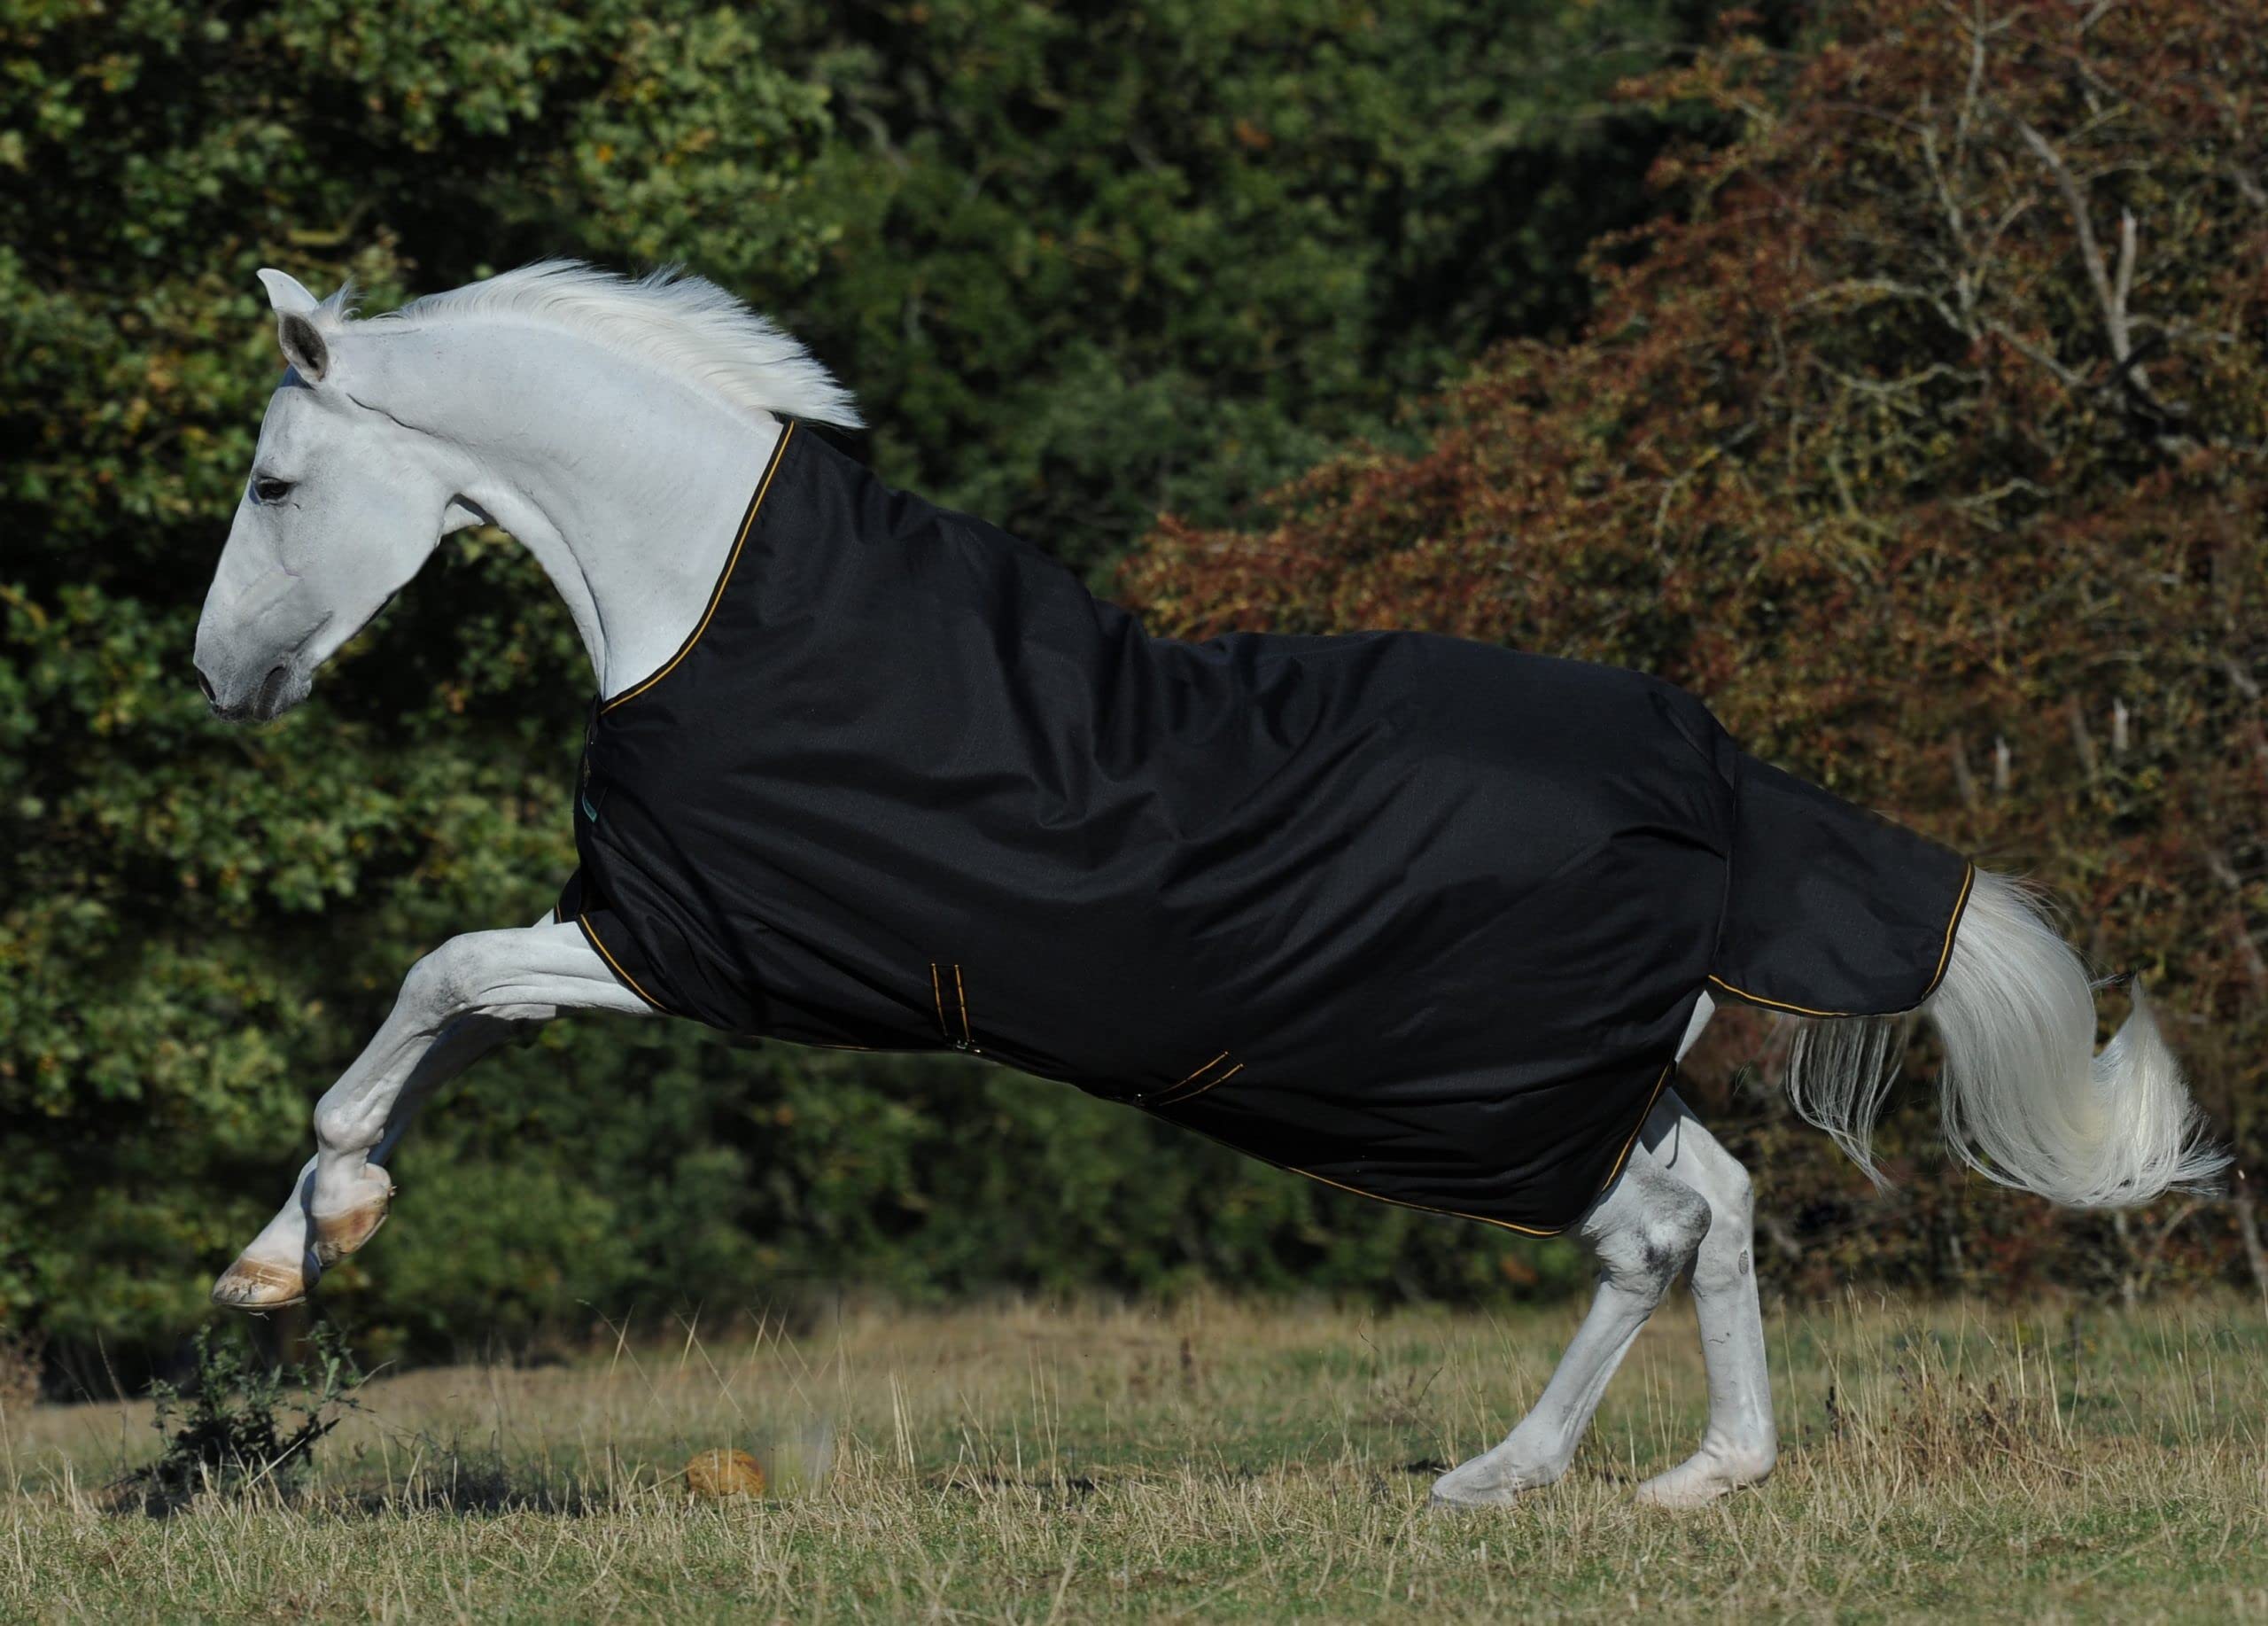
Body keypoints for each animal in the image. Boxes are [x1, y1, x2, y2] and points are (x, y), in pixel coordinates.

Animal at [192, 262, 2226, 1510]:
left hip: (1469, 1094)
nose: (219, 680)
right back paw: (1684, 1475)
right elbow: (451, 1013)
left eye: (277, 483)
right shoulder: (642, 934)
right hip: (1576, 1074)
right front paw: (311, 1241)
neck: (710, 592)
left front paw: (286, 1254)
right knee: (1712, 1210)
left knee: (1645, 1232)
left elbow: (439, 982)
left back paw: (1504, 1476)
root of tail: (1713, 776)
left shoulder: (698, 946)